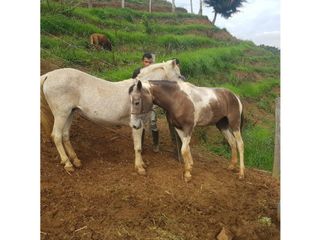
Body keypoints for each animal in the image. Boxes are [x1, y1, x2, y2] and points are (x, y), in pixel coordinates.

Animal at [41, 59, 184, 173]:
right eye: (178, 75)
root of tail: (48, 75)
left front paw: (142, 164)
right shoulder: (137, 125)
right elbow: (138, 147)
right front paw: (139, 167)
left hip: (70, 113)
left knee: (65, 136)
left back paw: (76, 160)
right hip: (61, 114)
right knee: (57, 136)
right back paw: (68, 164)